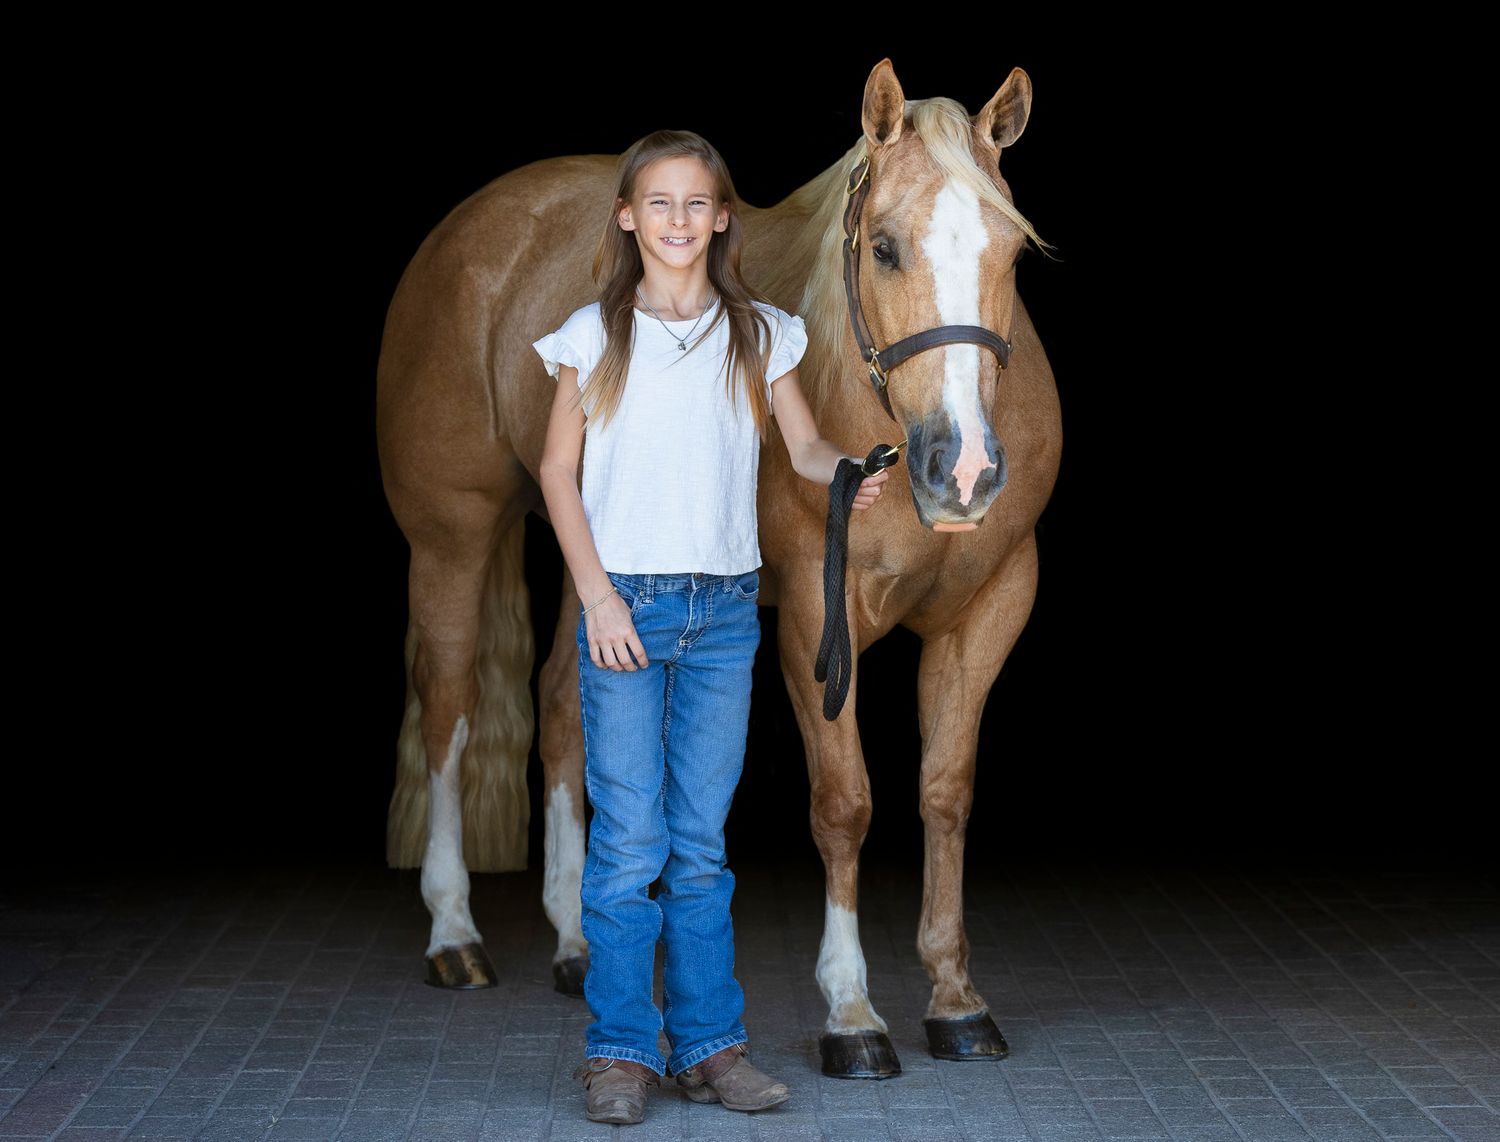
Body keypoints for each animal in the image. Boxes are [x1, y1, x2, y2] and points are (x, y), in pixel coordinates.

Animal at [374, 58, 1061, 1077]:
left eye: (1011, 256)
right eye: (885, 248)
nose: (965, 469)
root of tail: (470, 228)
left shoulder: (993, 608)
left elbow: (944, 794)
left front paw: (955, 998)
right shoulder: (820, 616)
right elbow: (844, 803)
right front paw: (851, 1012)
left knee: (560, 709)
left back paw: (577, 942)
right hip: (453, 540)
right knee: (450, 714)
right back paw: (454, 933)